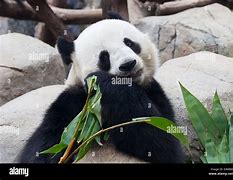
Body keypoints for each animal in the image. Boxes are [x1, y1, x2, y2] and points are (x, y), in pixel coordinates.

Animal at [18, 13, 184, 163]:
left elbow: (163, 142)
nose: (128, 64)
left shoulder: (153, 92)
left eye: (129, 43)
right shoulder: (72, 104)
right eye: (104, 57)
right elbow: (46, 146)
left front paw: (105, 83)